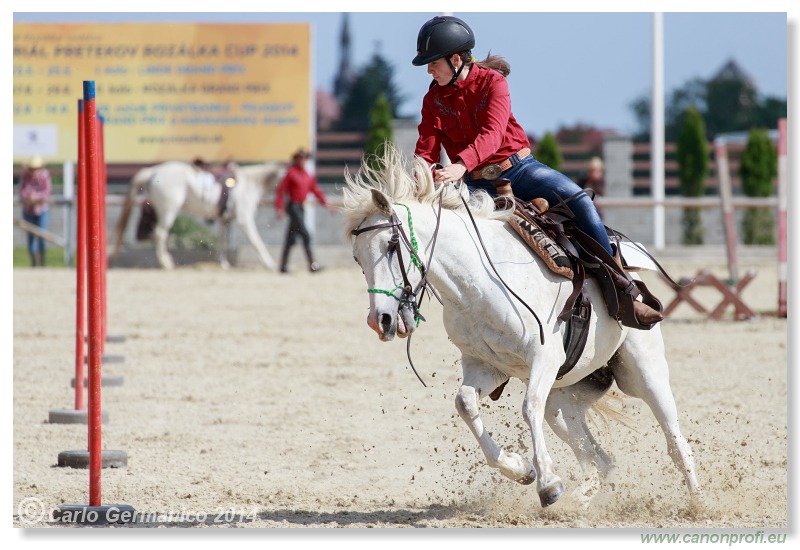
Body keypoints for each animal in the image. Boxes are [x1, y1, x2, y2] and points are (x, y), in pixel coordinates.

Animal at [114, 161, 282, 270]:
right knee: (160, 233)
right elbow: (256, 241)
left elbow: (222, 241)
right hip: (169, 210)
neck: (249, 184)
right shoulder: (244, 219)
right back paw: (165, 263)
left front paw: (223, 263)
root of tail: (153, 171)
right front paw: (270, 264)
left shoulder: (223, 220)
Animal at [344, 146, 700, 508]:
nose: (381, 320)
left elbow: (528, 408)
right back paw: (578, 503)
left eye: (391, 244)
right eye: (358, 258)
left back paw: (697, 501)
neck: (478, 281)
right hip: (564, 402)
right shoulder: (487, 365)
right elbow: (465, 403)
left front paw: (548, 484)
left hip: (644, 373)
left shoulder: (544, 356)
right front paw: (520, 469)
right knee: (599, 459)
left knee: (675, 443)